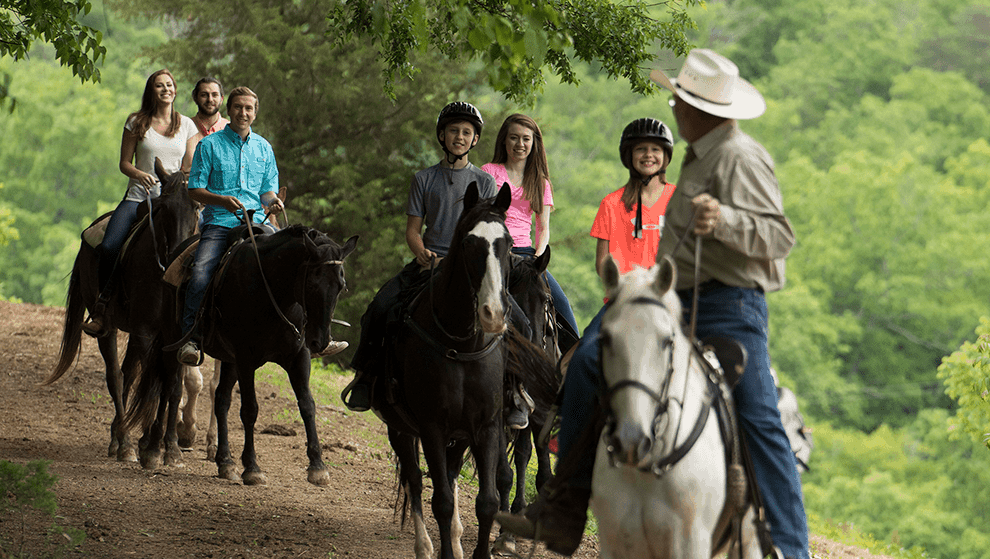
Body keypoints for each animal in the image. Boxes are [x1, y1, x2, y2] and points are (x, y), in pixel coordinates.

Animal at [46, 159, 200, 464]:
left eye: (197, 207)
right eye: (164, 207)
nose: (179, 257)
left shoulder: (173, 337)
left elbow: (171, 385)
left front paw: (168, 447)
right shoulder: (145, 332)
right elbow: (146, 381)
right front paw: (145, 446)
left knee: (136, 376)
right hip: (109, 327)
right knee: (116, 377)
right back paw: (123, 442)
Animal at [123, 225, 356, 484]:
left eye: (341, 286)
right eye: (313, 284)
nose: (320, 342)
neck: (272, 292)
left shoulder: (298, 358)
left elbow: (307, 405)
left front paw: (317, 466)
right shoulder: (246, 359)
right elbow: (250, 410)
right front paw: (252, 467)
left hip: (228, 359)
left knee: (221, 400)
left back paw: (225, 462)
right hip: (173, 342)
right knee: (168, 388)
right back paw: (157, 451)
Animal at [592, 258, 772, 559]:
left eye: (667, 341)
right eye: (605, 338)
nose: (631, 441)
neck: (649, 464)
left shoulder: (690, 543)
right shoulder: (614, 541)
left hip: (748, 540)